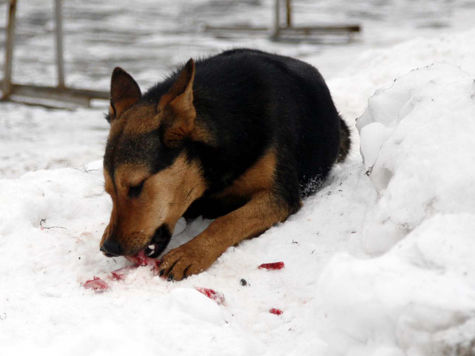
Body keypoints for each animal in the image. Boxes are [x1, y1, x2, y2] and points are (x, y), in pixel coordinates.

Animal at [100, 48, 352, 280]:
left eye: (136, 187)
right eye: (109, 191)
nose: (108, 248)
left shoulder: (280, 196)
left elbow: (227, 221)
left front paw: (190, 253)